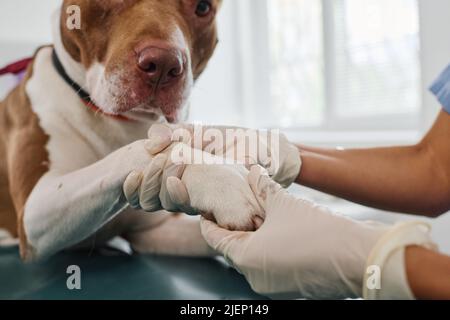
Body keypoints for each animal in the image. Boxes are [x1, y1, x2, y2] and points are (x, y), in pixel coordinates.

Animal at [0, 0, 264, 262]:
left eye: (202, 7)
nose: (164, 63)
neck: (122, 122)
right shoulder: (34, 211)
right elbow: (131, 153)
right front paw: (219, 177)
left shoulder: (155, 233)